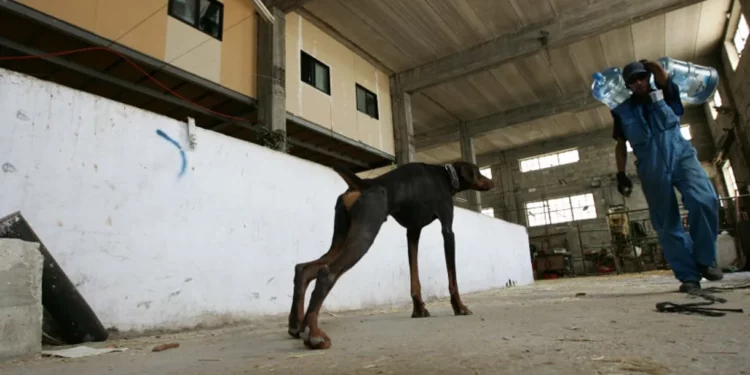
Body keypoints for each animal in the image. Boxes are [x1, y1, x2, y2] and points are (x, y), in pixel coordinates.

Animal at [286, 161, 494, 350]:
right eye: (478, 171)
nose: (491, 181)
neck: (445, 175)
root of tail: (361, 184)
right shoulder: (448, 230)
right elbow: (453, 277)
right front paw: (459, 307)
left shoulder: (413, 232)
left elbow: (414, 277)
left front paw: (419, 309)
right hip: (364, 234)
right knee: (326, 273)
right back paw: (315, 335)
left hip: (341, 238)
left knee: (304, 269)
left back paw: (297, 326)